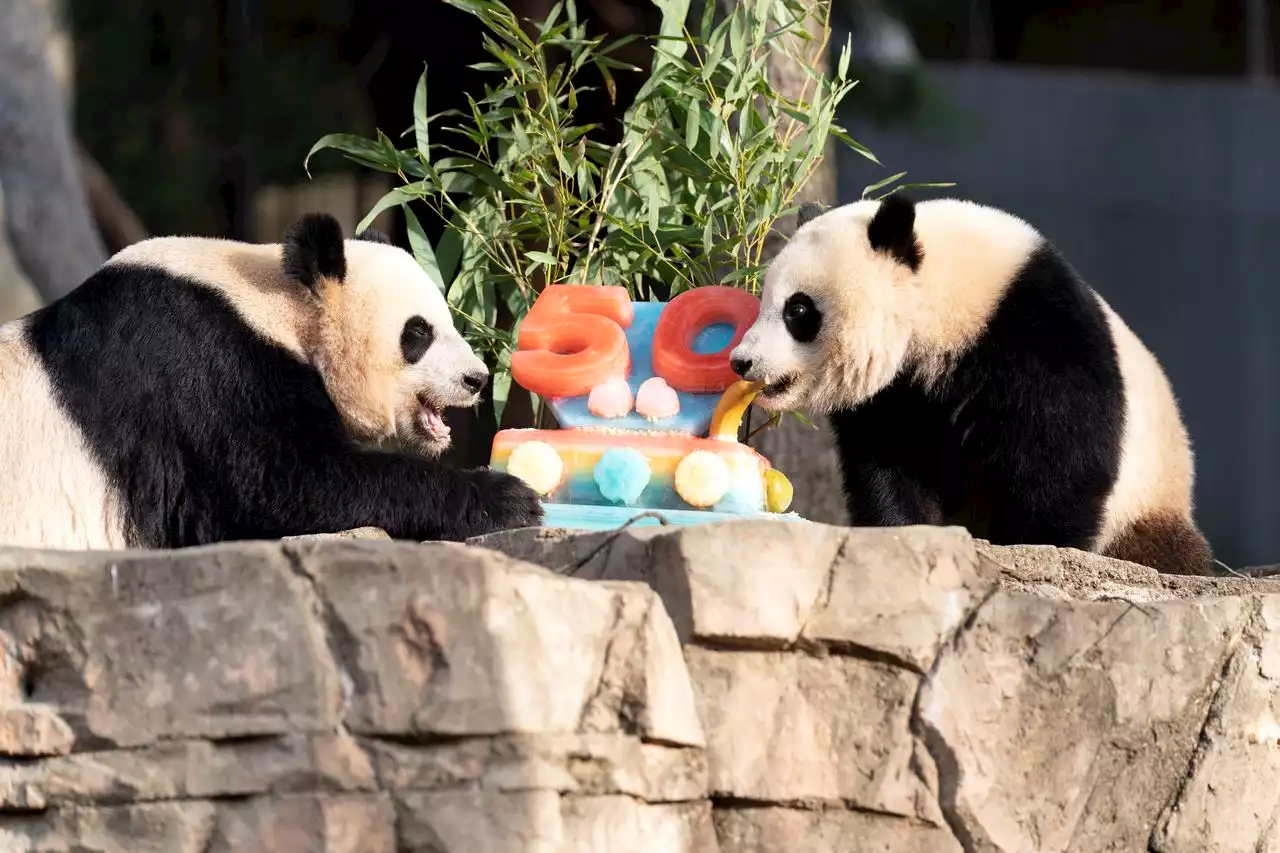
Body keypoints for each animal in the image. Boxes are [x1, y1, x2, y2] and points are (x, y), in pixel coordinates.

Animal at [0, 208, 542, 548]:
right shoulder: (200, 368)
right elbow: (283, 485)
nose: (476, 378)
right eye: (418, 333)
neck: (274, 302)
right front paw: (509, 498)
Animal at [732, 195, 1208, 573]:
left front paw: (1035, 547)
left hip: (1147, 501)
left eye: (797, 310)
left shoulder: (1037, 333)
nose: (742, 361)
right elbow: (890, 465)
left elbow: (1063, 462)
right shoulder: (895, 395)